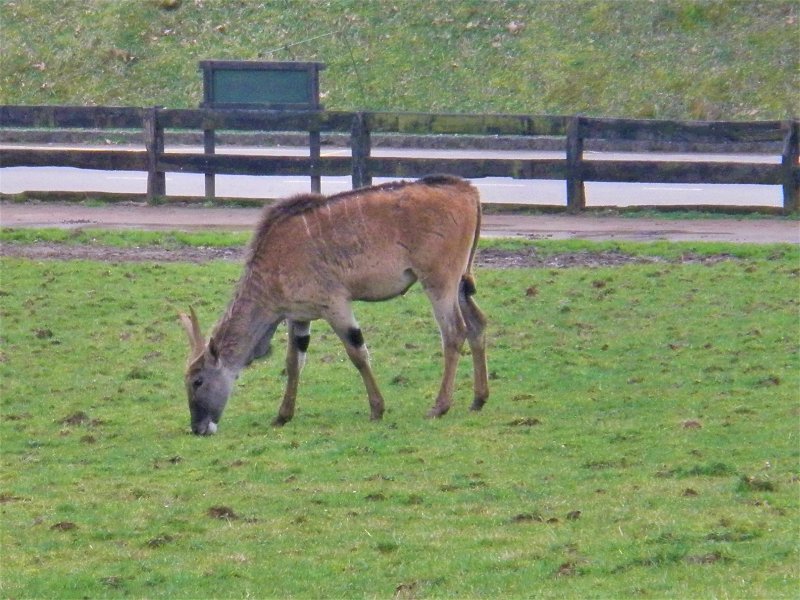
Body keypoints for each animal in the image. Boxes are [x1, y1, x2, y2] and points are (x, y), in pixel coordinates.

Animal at [180, 175, 488, 436]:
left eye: (197, 381)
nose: (198, 428)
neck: (273, 262)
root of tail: (467, 191)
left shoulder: (335, 304)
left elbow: (357, 353)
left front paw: (377, 409)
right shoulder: (299, 316)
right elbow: (294, 362)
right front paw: (282, 416)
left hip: (439, 282)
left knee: (454, 332)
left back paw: (440, 406)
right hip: (461, 283)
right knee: (477, 325)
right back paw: (478, 399)